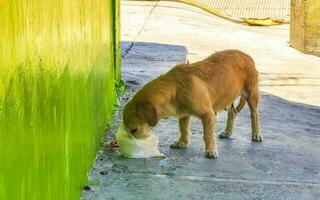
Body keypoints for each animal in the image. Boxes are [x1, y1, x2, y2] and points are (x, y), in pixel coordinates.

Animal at [122, 50, 262, 159]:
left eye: (134, 130)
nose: (133, 145)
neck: (175, 87)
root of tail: (246, 55)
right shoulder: (184, 114)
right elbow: (184, 129)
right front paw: (182, 143)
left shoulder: (208, 115)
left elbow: (208, 135)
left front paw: (210, 150)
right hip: (228, 97)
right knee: (232, 113)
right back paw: (228, 132)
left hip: (251, 95)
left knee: (254, 115)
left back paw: (256, 134)